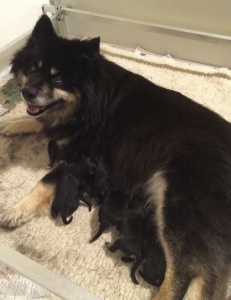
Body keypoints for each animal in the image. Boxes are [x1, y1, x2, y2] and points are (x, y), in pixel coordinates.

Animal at [0, 14, 231, 300]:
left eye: (59, 79)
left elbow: (46, 179)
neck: (91, 97)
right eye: (34, 68)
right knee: (206, 276)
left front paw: (17, 210)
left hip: (177, 206)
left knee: (185, 273)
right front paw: (13, 124)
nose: (27, 92)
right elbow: (40, 121)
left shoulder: (80, 155)